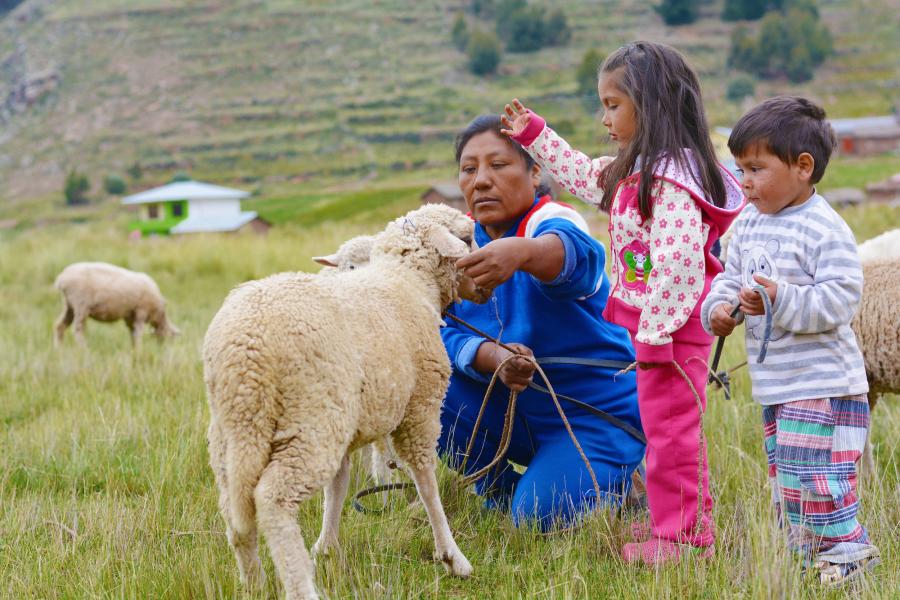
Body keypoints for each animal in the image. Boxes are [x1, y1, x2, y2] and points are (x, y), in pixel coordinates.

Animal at [53, 262, 181, 346]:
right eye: (171, 339)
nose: (162, 349)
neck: (158, 313)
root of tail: (62, 278)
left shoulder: (129, 315)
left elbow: (132, 332)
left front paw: (133, 349)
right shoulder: (141, 311)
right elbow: (138, 332)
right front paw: (139, 348)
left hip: (68, 305)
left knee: (60, 326)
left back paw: (59, 349)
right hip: (81, 304)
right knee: (78, 329)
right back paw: (84, 348)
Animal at [203, 204, 488, 596]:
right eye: (467, 237)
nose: (487, 279)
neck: (408, 283)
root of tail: (244, 348)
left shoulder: (350, 427)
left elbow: (337, 486)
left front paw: (326, 545)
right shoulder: (419, 408)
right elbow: (425, 481)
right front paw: (451, 555)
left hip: (235, 436)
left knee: (236, 511)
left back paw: (255, 584)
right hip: (311, 419)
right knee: (273, 499)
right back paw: (301, 588)